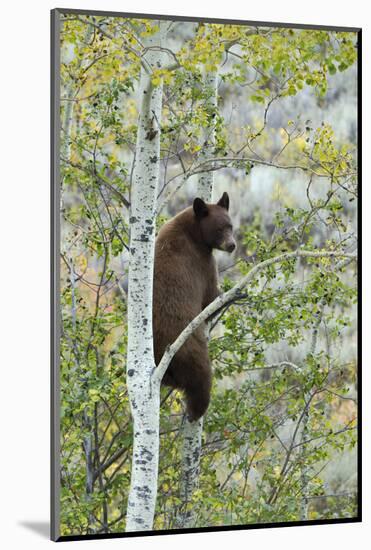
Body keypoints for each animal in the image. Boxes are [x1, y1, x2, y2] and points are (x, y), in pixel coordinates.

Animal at [153, 192, 235, 420]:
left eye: (231, 226)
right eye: (219, 229)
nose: (232, 245)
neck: (192, 232)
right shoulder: (203, 263)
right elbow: (210, 300)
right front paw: (231, 295)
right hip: (191, 350)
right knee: (202, 379)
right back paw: (196, 411)